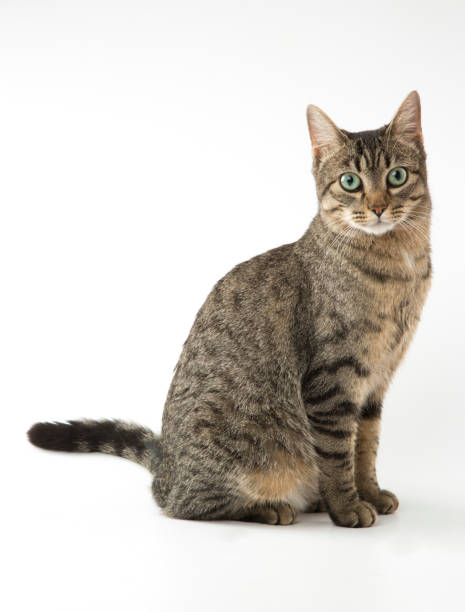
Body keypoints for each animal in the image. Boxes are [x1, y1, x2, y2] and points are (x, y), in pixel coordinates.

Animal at [28, 91, 432, 524]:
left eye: (397, 177)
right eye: (350, 182)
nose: (377, 207)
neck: (399, 266)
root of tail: (167, 471)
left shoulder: (376, 380)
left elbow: (366, 447)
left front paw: (369, 493)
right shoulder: (333, 381)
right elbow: (339, 455)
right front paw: (347, 507)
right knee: (190, 506)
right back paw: (272, 508)